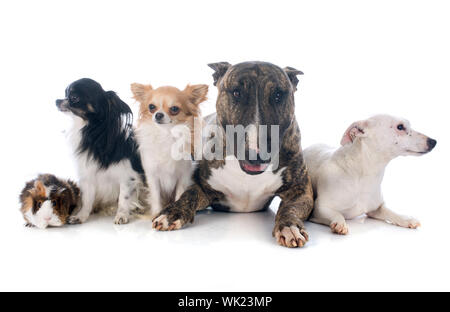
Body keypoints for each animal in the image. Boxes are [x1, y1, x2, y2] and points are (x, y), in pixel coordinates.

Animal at [55, 78, 145, 224]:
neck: (93, 133)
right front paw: (81, 216)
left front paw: (122, 215)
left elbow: (123, 198)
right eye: (65, 94)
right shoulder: (88, 176)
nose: (57, 101)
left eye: (74, 97)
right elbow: (87, 199)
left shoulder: (127, 177)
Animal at [302, 115, 436, 234]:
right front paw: (339, 224)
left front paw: (406, 219)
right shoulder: (319, 208)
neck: (364, 174)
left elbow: (391, 213)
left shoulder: (377, 208)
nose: (434, 141)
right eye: (400, 127)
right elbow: (337, 214)